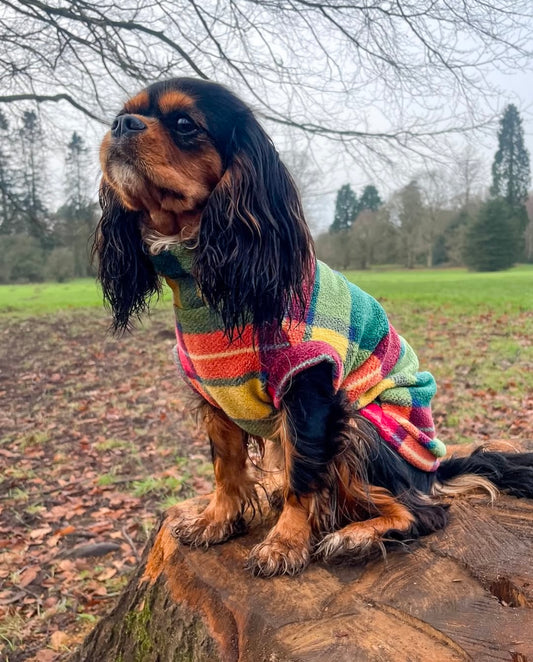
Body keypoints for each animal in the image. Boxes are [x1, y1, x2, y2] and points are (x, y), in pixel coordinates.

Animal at [93, 76, 532, 576]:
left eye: (185, 124)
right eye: (121, 114)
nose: (121, 125)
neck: (209, 276)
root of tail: (432, 473)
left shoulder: (308, 389)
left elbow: (302, 477)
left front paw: (285, 543)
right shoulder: (215, 397)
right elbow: (226, 466)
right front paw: (217, 520)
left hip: (362, 425)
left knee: (424, 513)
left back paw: (355, 535)